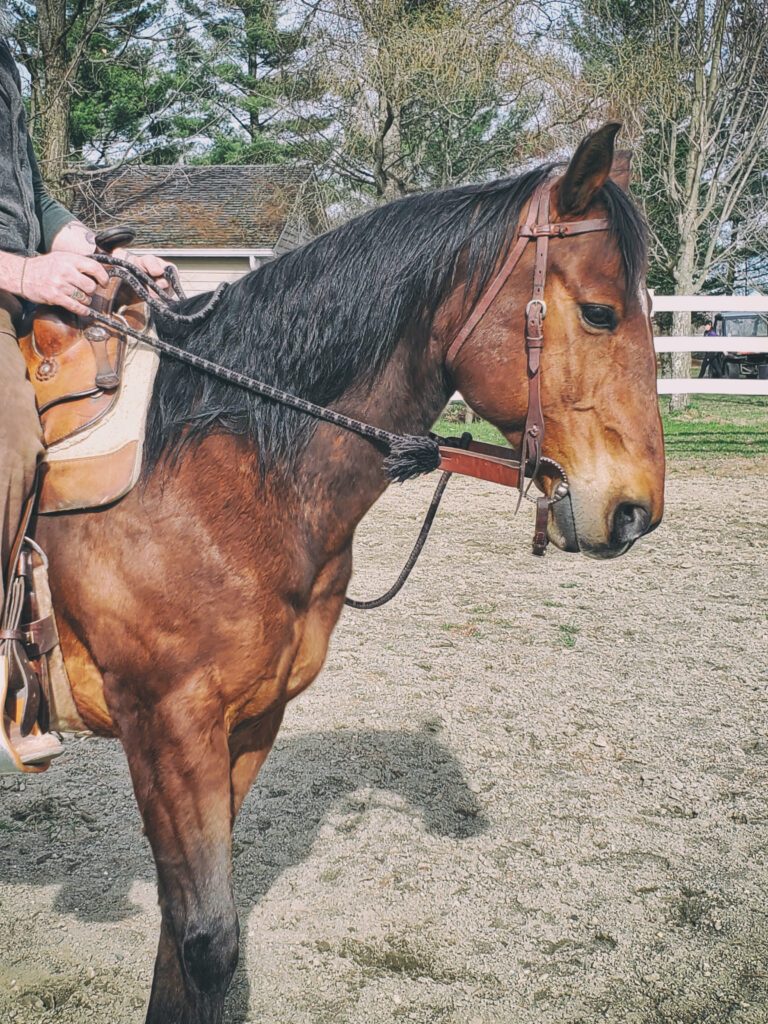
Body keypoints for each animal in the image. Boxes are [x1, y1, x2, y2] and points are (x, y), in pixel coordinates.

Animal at [36, 125, 663, 1024]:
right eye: (602, 312)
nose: (636, 509)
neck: (216, 465)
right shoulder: (166, 726)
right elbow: (207, 939)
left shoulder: (246, 724)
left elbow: (183, 941)